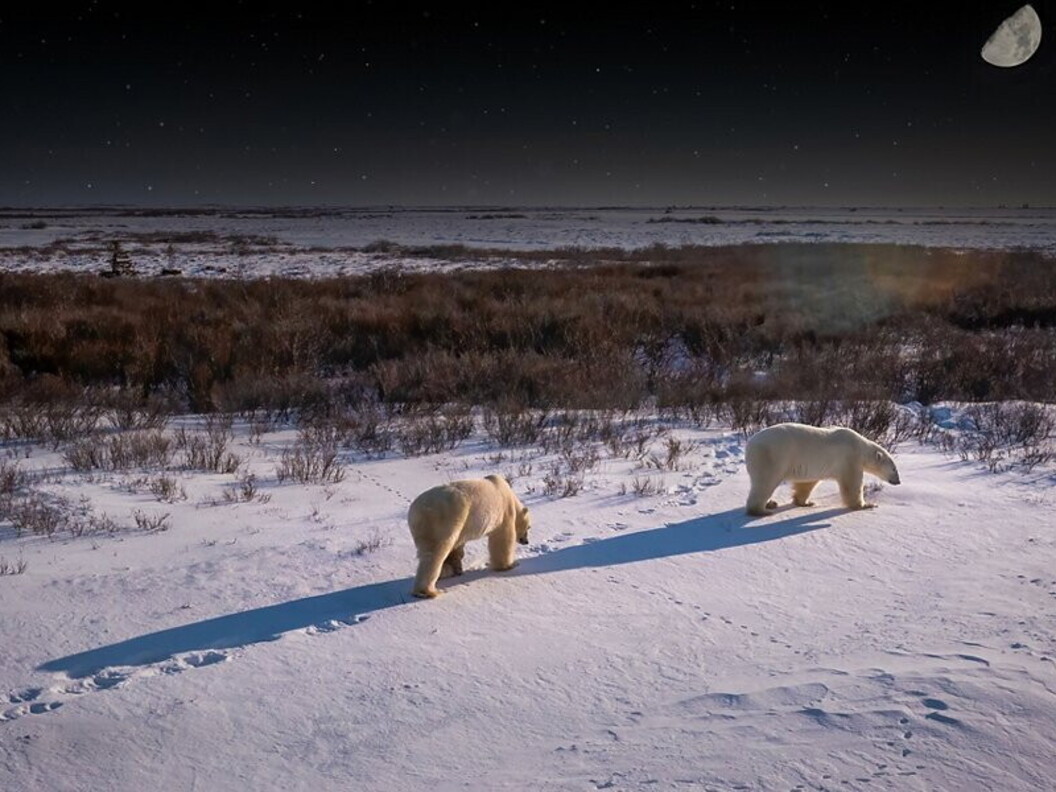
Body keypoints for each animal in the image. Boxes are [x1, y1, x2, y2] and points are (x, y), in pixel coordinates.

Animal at [744, 422, 900, 516]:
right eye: (894, 469)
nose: (898, 481)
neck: (861, 446)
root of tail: (750, 444)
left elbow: (807, 483)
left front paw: (806, 502)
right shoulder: (850, 459)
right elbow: (852, 484)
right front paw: (866, 505)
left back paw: (771, 503)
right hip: (771, 456)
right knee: (765, 482)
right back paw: (762, 510)